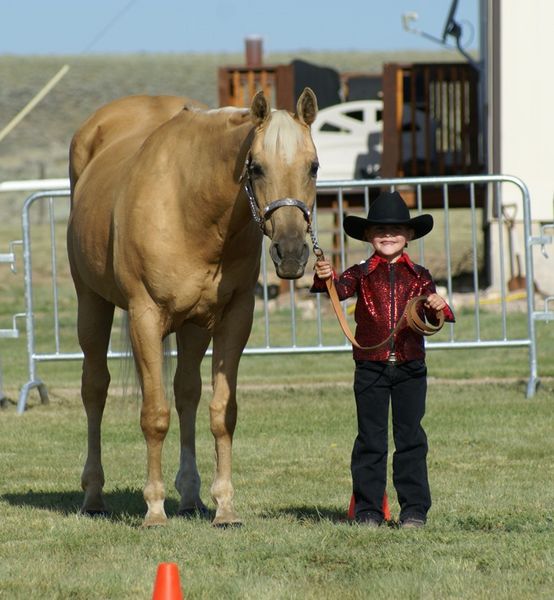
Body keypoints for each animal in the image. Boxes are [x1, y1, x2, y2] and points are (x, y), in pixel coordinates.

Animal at [68, 88, 320, 524]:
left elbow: (221, 412)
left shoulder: (234, 317)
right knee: (95, 389)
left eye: (314, 166)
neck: (193, 207)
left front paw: (225, 506)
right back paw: (94, 495)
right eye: (256, 168)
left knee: (186, 392)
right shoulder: (145, 317)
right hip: (92, 305)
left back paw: (189, 496)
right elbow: (154, 415)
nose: (291, 252)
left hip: (194, 328)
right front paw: (154, 509)